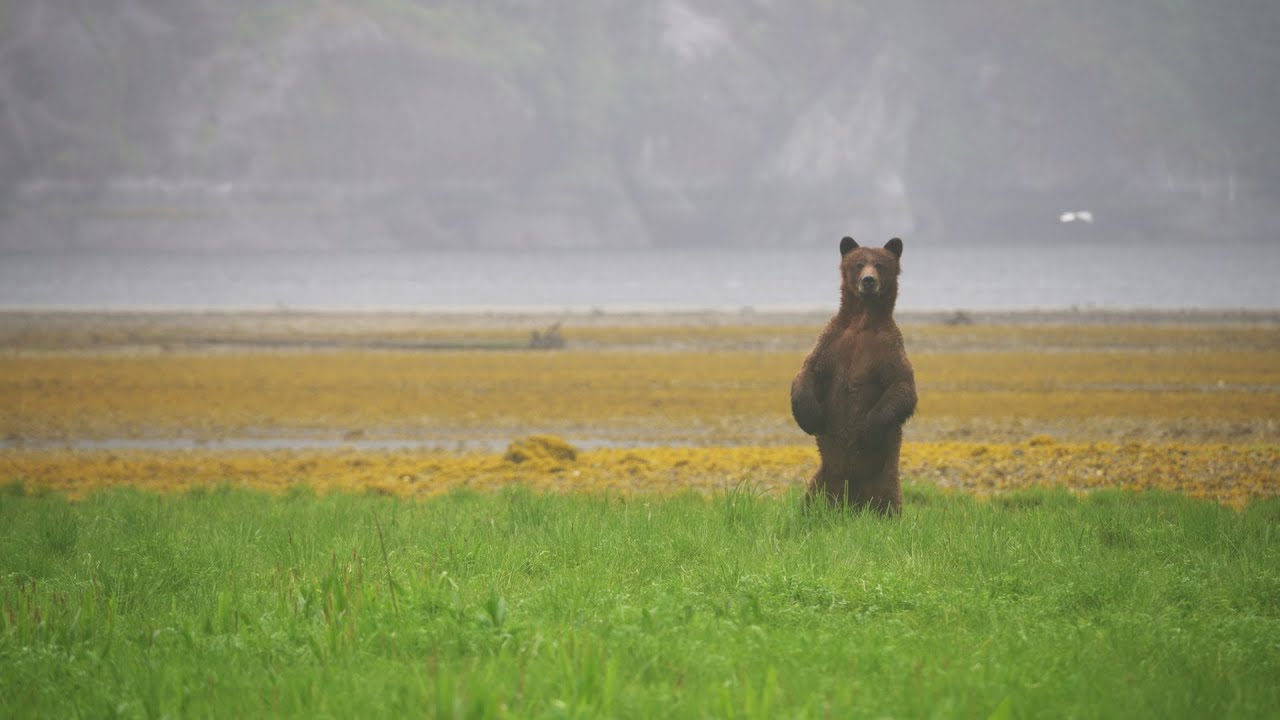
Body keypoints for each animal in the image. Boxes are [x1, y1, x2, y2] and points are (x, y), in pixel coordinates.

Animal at [790, 236, 917, 514]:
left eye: (880, 264)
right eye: (859, 263)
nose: (868, 281)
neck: (862, 322)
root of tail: (853, 501)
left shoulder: (887, 350)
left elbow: (901, 387)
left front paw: (869, 431)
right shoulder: (832, 344)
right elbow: (808, 373)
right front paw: (811, 417)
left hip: (885, 479)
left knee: (889, 501)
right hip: (824, 480)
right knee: (811, 501)